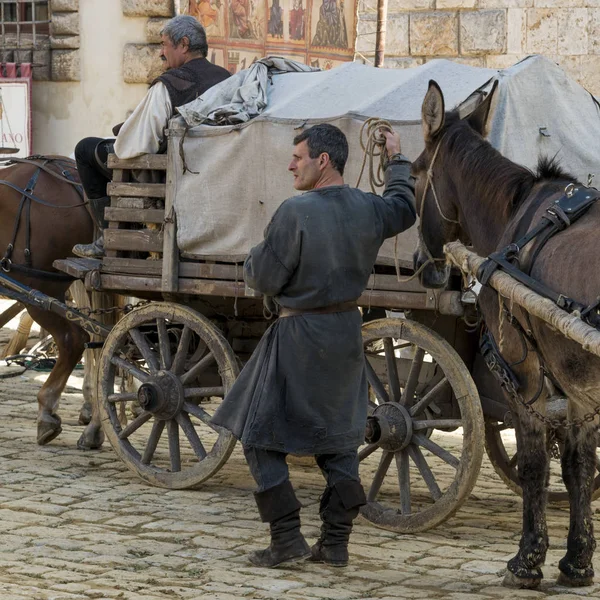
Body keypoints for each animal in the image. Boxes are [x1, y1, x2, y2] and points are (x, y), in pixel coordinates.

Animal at [412, 82, 600, 588]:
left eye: (413, 175)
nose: (424, 267)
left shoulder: (524, 372)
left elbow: (535, 464)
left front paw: (527, 560)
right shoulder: (575, 385)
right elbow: (578, 465)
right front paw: (576, 562)